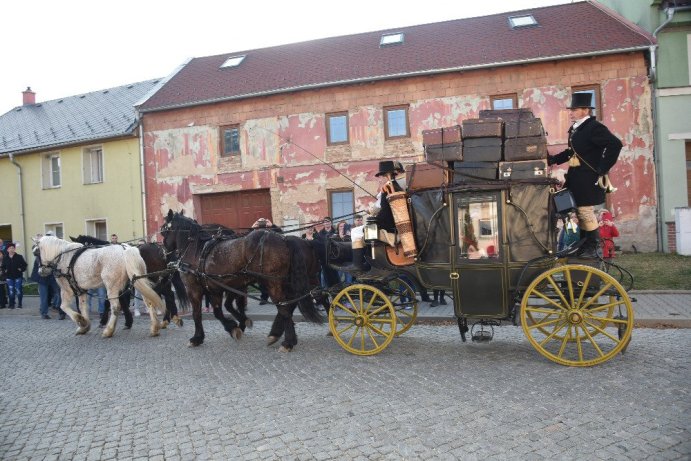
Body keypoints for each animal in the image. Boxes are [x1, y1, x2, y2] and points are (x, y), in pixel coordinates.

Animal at [34, 235, 166, 336]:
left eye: (36, 252)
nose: (41, 271)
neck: (63, 257)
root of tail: (125, 249)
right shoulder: (81, 290)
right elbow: (83, 306)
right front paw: (84, 326)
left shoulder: (66, 289)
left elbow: (64, 306)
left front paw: (81, 321)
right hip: (138, 281)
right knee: (149, 301)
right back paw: (155, 327)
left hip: (112, 286)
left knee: (115, 307)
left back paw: (109, 330)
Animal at [162, 208, 324, 348]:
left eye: (163, 231)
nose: (164, 252)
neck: (196, 249)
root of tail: (284, 239)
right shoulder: (216, 288)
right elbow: (219, 311)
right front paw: (236, 325)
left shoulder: (194, 289)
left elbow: (197, 314)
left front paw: (197, 338)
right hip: (287, 283)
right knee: (291, 305)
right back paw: (277, 334)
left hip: (273, 283)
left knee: (284, 307)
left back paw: (288, 341)